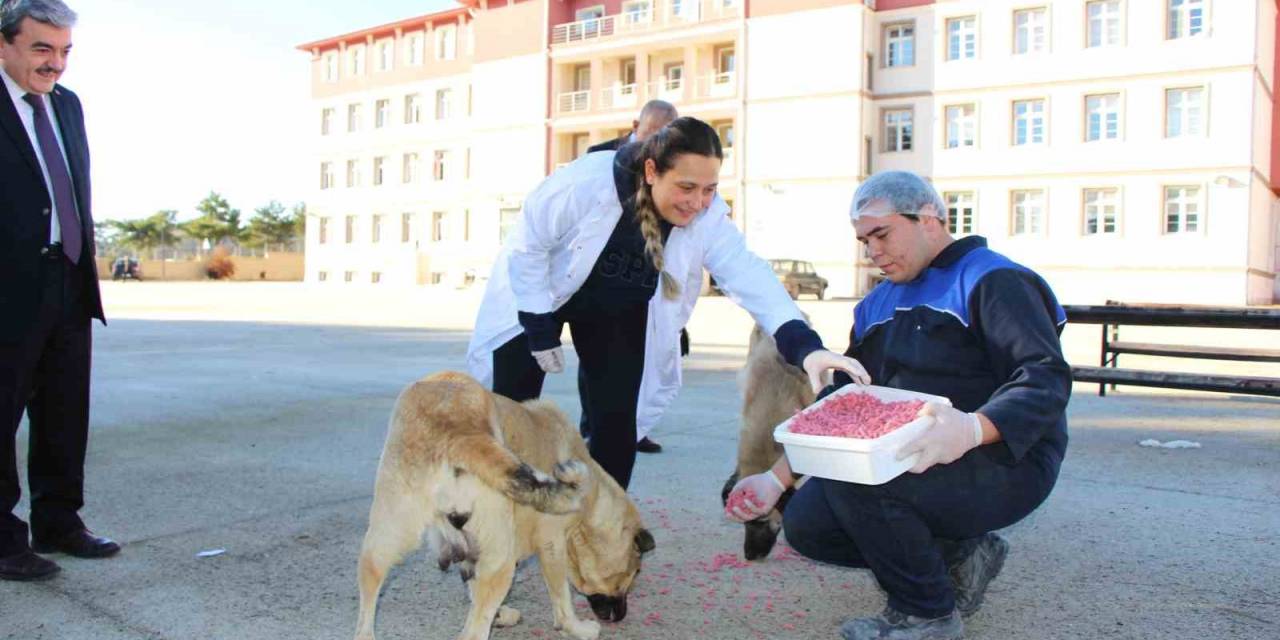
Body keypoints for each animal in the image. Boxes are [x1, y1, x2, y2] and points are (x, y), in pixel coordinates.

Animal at [355, 371, 655, 640]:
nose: (621, 615)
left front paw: (500, 613)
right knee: (473, 633)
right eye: (635, 571)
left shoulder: (471, 553)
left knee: (369, 591)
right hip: (501, 558)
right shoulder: (552, 545)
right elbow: (561, 599)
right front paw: (576, 628)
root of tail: (458, 431)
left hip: (386, 537)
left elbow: (474, 589)